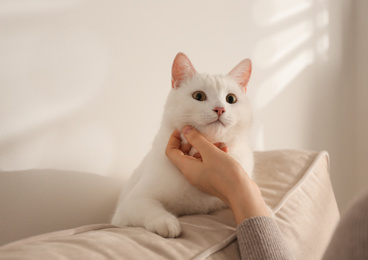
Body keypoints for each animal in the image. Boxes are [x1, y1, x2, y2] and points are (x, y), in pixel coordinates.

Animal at [111, 52, 253, 238]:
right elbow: (150, 208)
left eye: (231, 99)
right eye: (199, 96)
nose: (220, 109)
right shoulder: (130, 204)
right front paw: (167, 223)